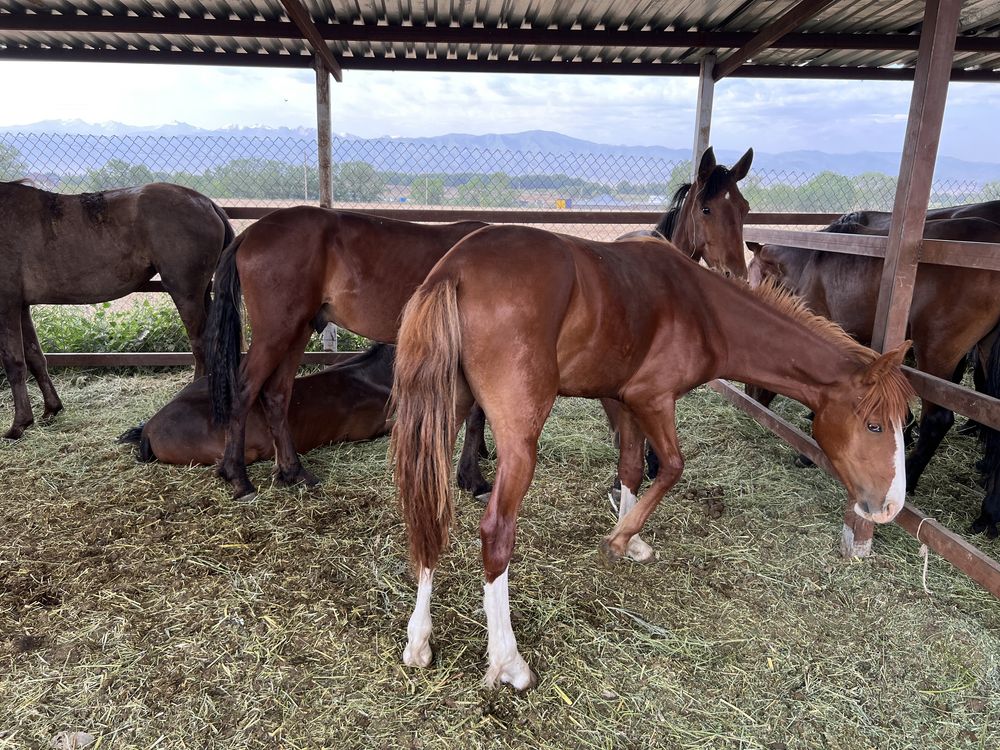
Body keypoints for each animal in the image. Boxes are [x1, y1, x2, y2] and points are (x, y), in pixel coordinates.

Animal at [0, 179, 232, 440]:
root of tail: (206, 203)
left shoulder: (6, 305)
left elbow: (14, 363)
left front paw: (18, 425)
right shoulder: (21, 306)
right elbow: (35, 358)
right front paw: (51, 408)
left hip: (186, 293)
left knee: (200, 345)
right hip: (201, 293)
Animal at [390, 225, 916, 692]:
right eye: (874, 425)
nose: (890, 506)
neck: (704, 309)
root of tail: (455, 268)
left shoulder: (622, 400)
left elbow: (630, 467)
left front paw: (631, 536)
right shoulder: (652, 399)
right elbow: (672, 466)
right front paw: (621, 538)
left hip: (445, 413)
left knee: (427, 513)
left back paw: (419, 642)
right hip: (520, 438)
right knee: (496, 531)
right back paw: (508, 662)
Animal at [748, 214, 1000, 536]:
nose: (752, 397)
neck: (811, 263)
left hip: (938, 350)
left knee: (938, 420)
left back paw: (912, 477)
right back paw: (988, 513)